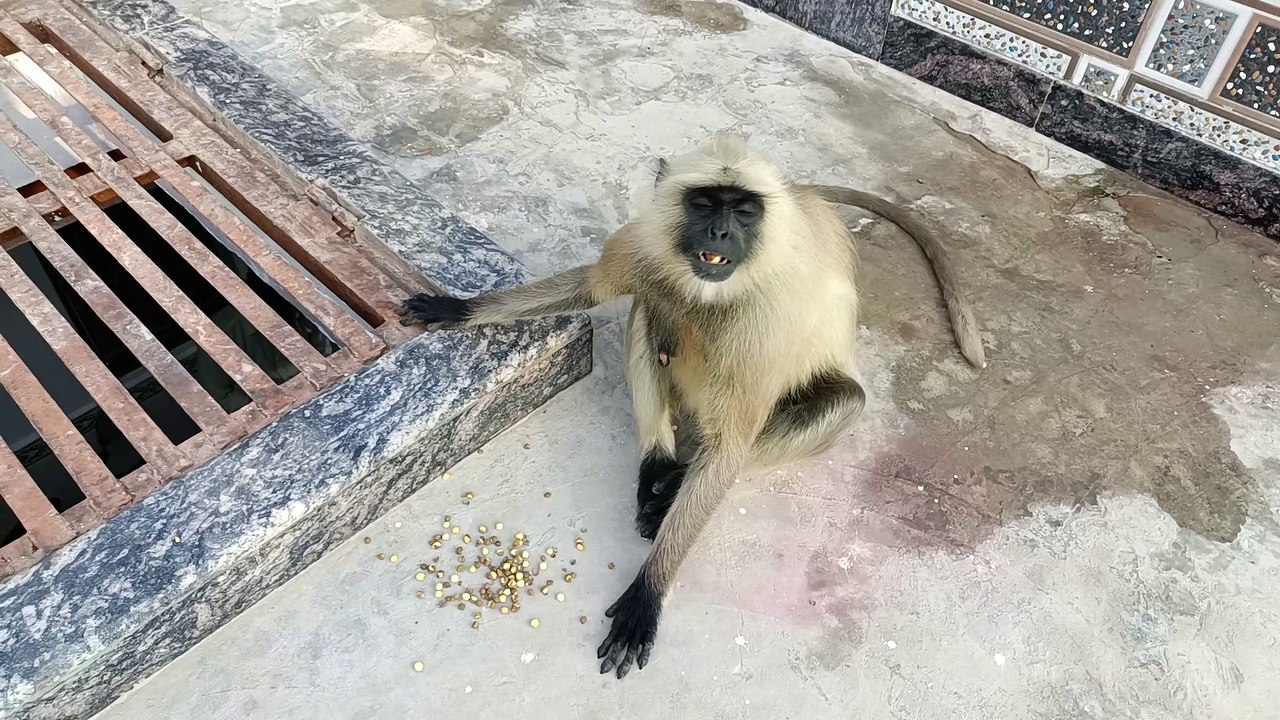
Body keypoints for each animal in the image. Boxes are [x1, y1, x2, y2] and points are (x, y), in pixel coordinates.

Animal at [396, 136, 985, 679]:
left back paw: (674, 484)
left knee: (837, 402)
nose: (720, 233)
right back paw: (657, 465)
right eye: (704, 205)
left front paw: (648, 590)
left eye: (742, 210)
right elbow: (593, 287)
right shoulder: (644, 247)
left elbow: (729, 450)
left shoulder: (765, 325)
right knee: (651, 307)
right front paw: (456, 309)